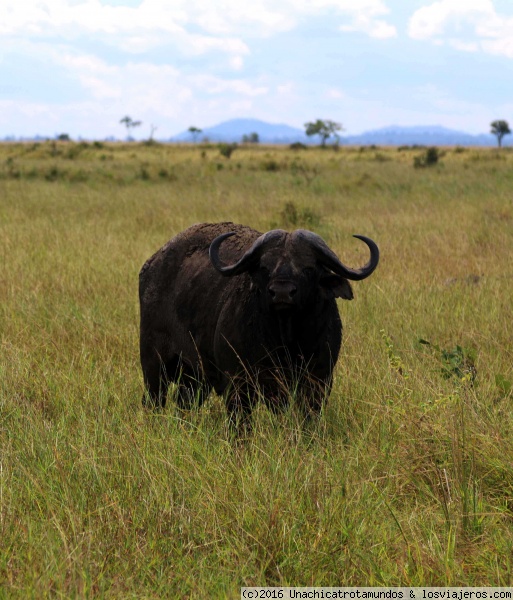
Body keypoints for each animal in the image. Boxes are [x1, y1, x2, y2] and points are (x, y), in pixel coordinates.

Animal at [138, 223, 378, 428]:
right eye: (265, 266)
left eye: (308, 268)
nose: (282, 292)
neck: (286, 340)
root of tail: (151, 265)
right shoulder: (239, 382)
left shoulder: (319, 379)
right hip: (153, 365)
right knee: (154, 401)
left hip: (195, 377)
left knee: (184, 403)